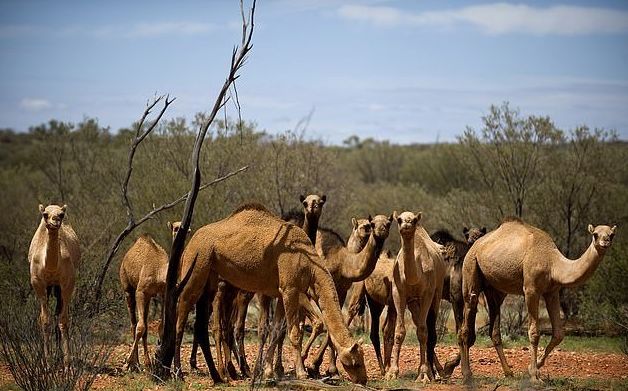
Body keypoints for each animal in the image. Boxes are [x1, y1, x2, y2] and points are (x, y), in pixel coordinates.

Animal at [29, 205, 81, 368]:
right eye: (45, 214)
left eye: (62, 214)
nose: (55, 221)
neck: (50, 267)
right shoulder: (38, 283)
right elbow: (45, 320)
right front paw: (47, 362)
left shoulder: (67, 283)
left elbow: (63, 320)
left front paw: (67, 363)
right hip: (49, 287)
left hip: (58, 288)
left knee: (58, 312)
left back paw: (59, 355)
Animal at [119, 220, 185, 370]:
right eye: (175, 228)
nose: (183, 229)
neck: (159, 272)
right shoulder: (141, 292)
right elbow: (140, 327)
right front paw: (127, 363)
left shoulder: (163, 293)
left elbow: (160, 327)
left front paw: (156, 359)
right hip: (127, 287)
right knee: (134, 323)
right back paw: (135, 364)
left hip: (148, 298)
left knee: (145, 325)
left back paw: (146, 362)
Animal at [174, 207, 368, 384]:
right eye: (356, 362)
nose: (363, 379)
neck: (311, 265)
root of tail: (191, 241)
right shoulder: (290, 289)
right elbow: (294, 333)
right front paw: (301, 373)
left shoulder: (281, 293)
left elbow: (275, 330)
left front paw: (268, 372)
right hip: (197, 264)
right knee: (182, 311)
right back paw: (179, 372)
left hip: (211, 276)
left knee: (203, 323)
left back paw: (219, 375)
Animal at [388, 211, 446, 382]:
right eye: (399, 220)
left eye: (413, 220)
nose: (406, 226)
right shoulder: (398, 293)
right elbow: (399, 331)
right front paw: (392, 373)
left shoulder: (427, 294)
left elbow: (422, 331)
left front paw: (424, 374)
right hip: (414, 303)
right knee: (421, 323)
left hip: (437, 293)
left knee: (429, 329)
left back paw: (437, 373)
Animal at [458, 220, 616, 386]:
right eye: (595, 234)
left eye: (612, 234)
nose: (605, 242)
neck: (552, 263)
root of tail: (474, 246)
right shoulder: (531, 290)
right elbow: (534, 333)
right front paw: (534, 376)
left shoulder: (552, 292)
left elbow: (559, 334)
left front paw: (534, 367)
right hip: (471, 267)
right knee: (467, 319)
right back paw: (467, 376)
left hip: (494, 288)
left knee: (494, 330)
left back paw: (508, 373)